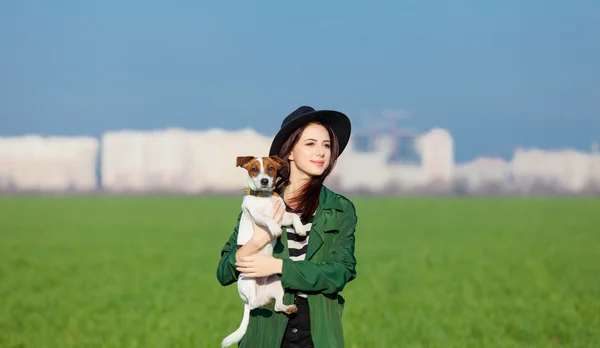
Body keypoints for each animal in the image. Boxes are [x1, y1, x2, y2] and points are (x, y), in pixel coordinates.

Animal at [220, 156, 308, 348]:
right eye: (254, 169)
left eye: (270, 168)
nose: (264, 181)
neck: (264, 198)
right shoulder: (257, 215)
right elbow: (267, 218)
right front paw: (274, 229)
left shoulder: (283, 216)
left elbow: (294, 216)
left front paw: (300, 229)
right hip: (248, 282)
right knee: (254, 304)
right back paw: (261, 301)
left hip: (278, 284)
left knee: (277, 306)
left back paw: (286, 307)